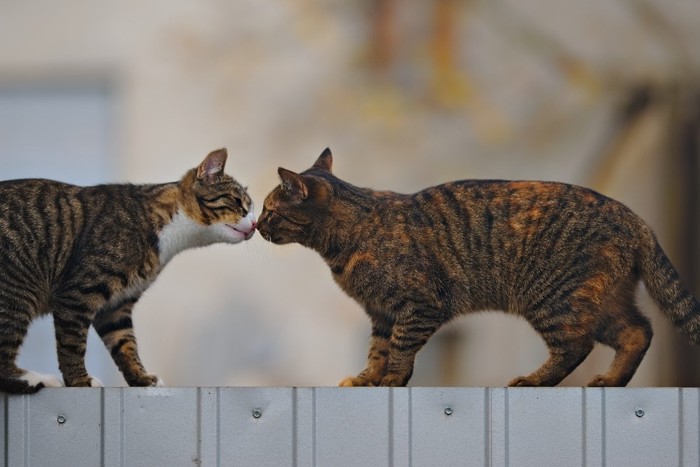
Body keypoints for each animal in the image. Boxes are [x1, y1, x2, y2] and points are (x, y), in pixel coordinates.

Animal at [0, 148, 258, 394]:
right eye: (237, 202)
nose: (255, 223)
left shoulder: (116, 307)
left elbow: (125, 345)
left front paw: (141, 378)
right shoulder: (76, 295)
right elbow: (72, 344)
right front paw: (79, 381)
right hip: (17, 293)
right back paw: (37, 379)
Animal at [258, 149, 700, 388]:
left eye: (269, 210)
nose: (257, 225)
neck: (347, 239)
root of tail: (636, 219)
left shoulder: (419, 306)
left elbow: (399, 350)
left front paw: (392, 380)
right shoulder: (381, 313)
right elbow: (377, 351)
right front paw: (368, 379)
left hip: (555, 298)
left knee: (577, 345)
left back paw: (534, 380)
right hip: (601, 302)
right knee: (638, 332)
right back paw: (612, 380)